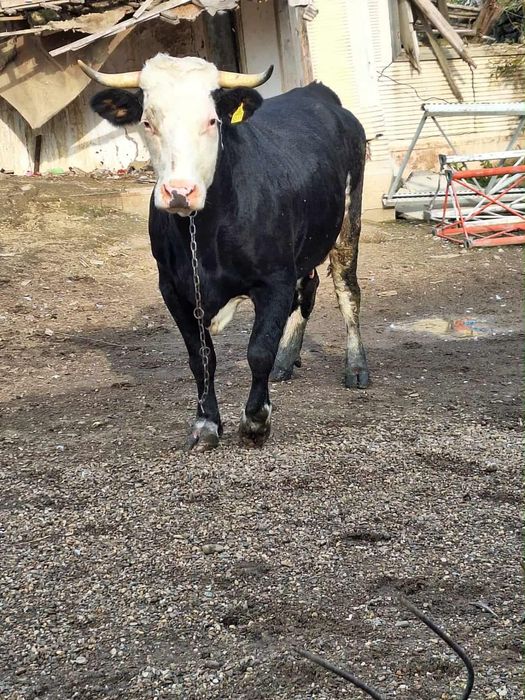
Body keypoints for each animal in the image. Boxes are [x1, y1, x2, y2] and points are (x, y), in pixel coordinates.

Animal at [80, 54, 369, 451]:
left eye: (211, 121)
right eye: (147, 122)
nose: (179, 191)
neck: (205, 235)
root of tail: (318, 93)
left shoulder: (273, 280)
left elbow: (258, 351)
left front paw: (256, 421)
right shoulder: (173, 289)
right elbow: (201, 359)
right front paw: (206, 423)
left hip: (348, 220)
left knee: (346, 291)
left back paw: (355, 367)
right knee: (307, 290)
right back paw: (287, 359)